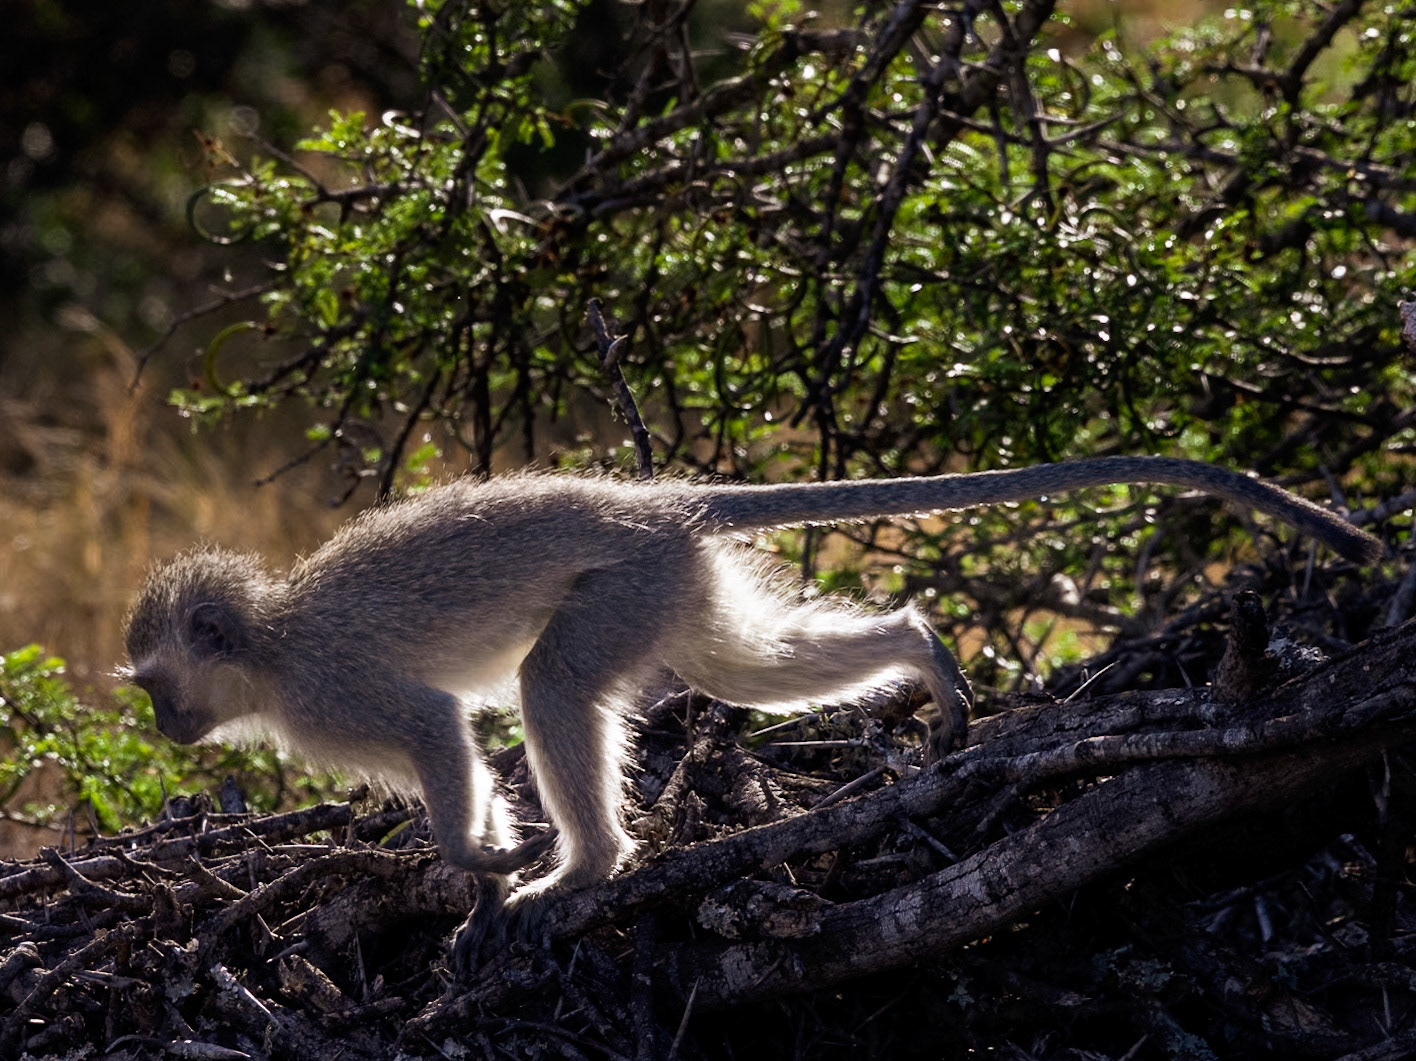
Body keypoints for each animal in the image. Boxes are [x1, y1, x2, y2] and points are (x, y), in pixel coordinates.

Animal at [123, 455, 1381, 961]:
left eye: (153, 682)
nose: (164, 729)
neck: (269, 647)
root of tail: (660, 504)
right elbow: (462, 761)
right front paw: (476, 877)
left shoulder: (338, 686)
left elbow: (441, 727)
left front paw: (487, 866)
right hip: (671, 590)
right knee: (735, 667)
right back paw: (921, 650)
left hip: (624, 586)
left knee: (554, 685)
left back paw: (589, 866)